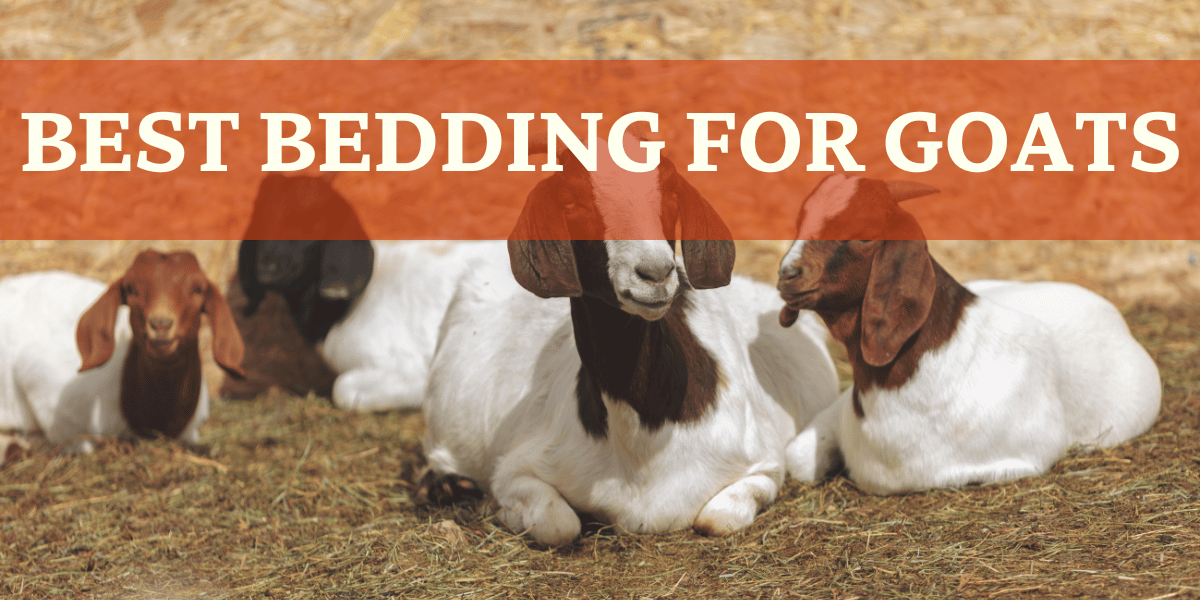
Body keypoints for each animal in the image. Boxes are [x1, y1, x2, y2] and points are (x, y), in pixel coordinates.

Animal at [422, 133, 844, 547]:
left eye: (671, 197)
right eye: (573, 202)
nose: (656, 273)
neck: (645, 435)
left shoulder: (765, 466)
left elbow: (716, 519)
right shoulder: (516, 467)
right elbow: (558, 525)